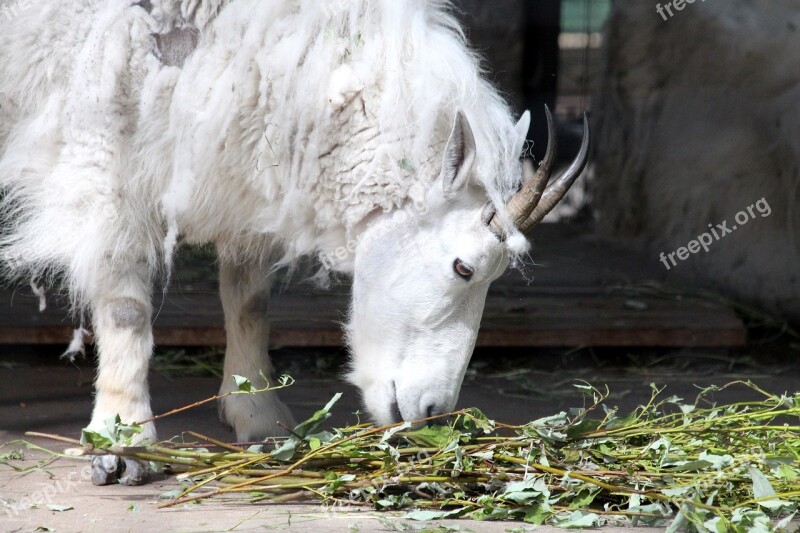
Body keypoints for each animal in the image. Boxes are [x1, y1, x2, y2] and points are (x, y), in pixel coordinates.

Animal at [0, 0, 588, 484]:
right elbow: (126, 307)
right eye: (463, 267)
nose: (430, 412)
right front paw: (123, 445)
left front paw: (258, 418)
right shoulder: (107, 146)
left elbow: (249, 300)